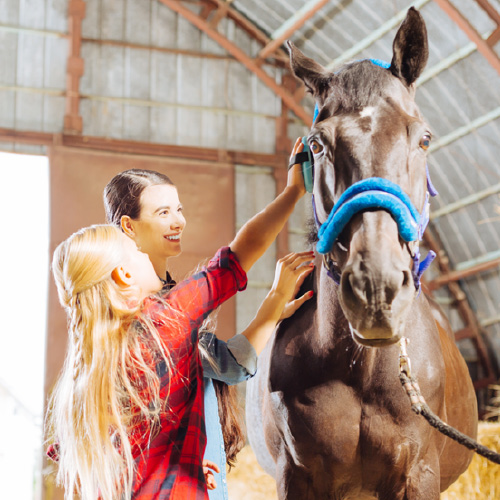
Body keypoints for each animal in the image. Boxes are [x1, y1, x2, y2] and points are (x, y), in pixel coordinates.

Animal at [246, 8, 476, 500]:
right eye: (317, 143)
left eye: (424, 138)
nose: (376, 288)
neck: (360, 371)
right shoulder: (296, 477)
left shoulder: (418, 474)